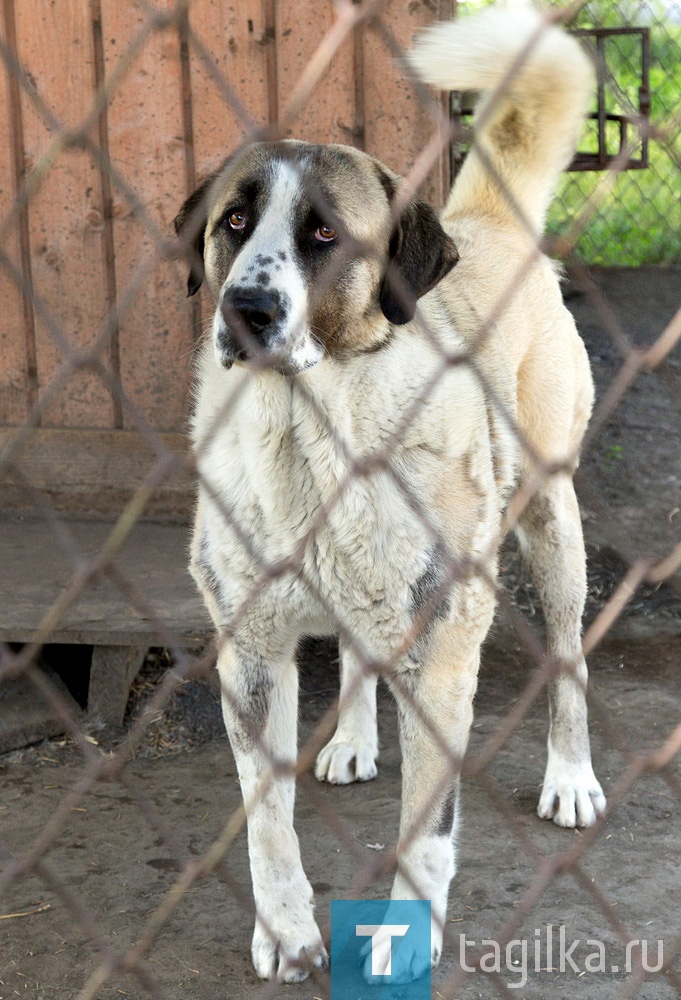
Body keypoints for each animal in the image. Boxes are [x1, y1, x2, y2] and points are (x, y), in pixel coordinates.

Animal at [175, 7, 604, 988]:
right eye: (234, 221)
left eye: (325, 235)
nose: (247, 309)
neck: (308, 437)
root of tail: (483, 221)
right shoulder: (250, 653)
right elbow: (266, 820)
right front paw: (286, 931)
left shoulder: (442, 657)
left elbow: (428, 829)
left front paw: (404, 937)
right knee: (355, 653)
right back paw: (352, 740)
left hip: (551, 526)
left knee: (568, 658)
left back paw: (569, 777)